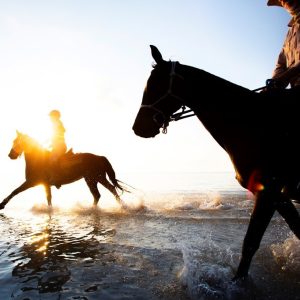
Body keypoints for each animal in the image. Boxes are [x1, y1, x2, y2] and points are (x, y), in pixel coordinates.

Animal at [133, 45, 300, 280]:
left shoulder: (269, 192)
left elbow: (250, 243)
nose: (138, 127)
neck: (257, 124)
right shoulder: (279, 197)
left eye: (155, 85)